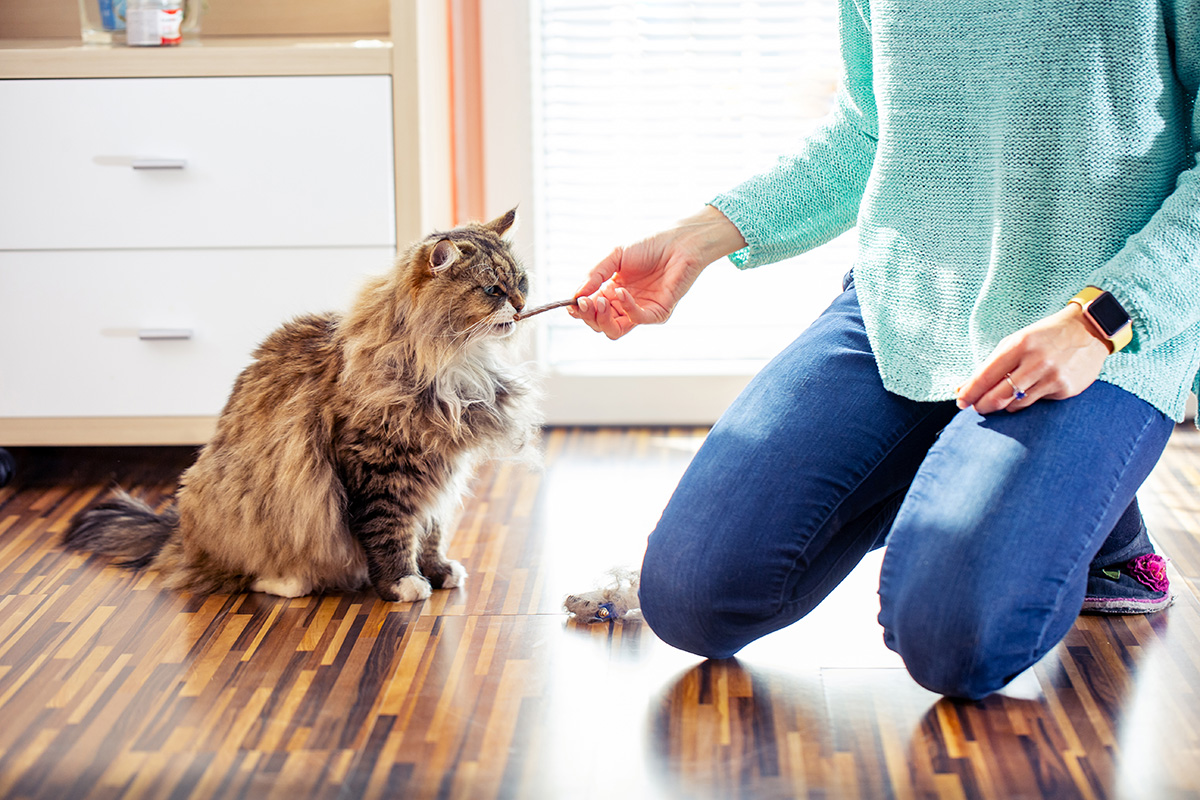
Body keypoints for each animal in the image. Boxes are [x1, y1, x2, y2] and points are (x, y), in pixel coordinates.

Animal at [60, 209, 540, 604]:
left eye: (521, 282)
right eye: (492, 290)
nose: (521, 305)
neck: (454, 360)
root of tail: (178, 531)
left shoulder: (439, 466)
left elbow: (431, 529)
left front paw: (438, 572)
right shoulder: (378, 467)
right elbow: (390, 532)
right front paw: (402, 584)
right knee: (237, 574)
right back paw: (288, 581)